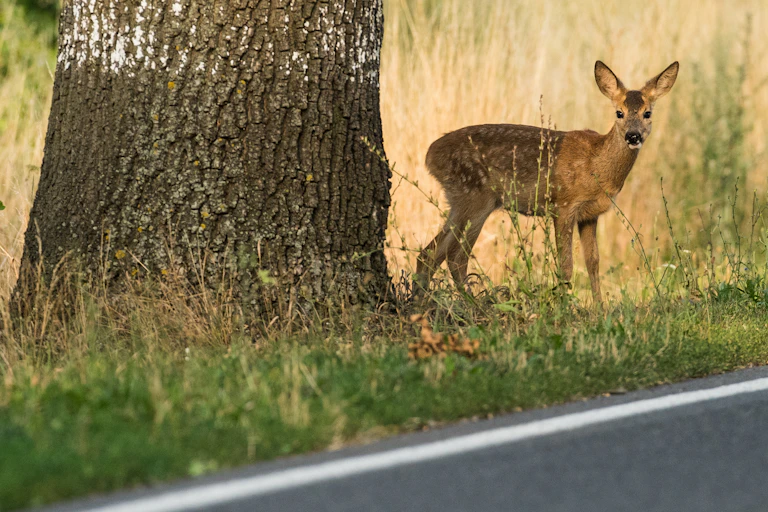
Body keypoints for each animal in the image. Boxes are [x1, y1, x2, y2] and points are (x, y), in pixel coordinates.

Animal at [415, 61, 679, 302]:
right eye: (619, 112)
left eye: (647, 113)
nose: (633, 136)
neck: (597, 165)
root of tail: (430, 155)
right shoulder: (563, 206)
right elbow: (566, 266)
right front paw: (565, 308)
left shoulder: (590, 214)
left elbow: (593, 263)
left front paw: (599, 311)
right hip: (474, 198)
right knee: (456, 257)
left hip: (460, 202)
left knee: (429, 254)